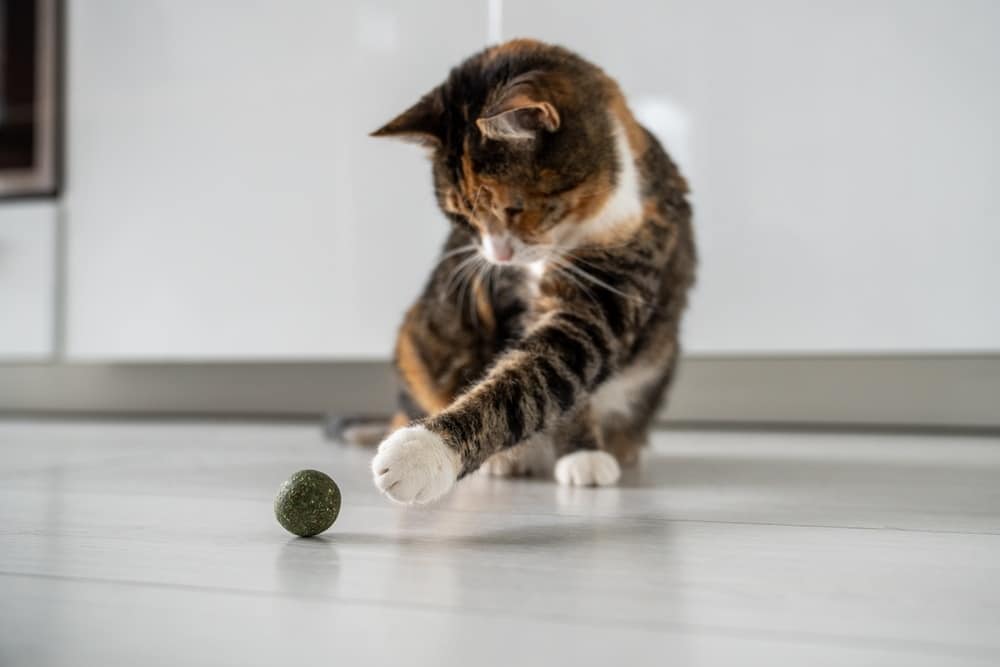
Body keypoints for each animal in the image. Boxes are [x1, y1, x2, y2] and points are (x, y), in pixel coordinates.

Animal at [370, 39, 696, 504]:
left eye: (513, 208)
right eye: (461, 215)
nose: (499, 255)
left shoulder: (610, 284)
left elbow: (541, 373)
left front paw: (421, 454)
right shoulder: (507, 297)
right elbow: (529, 375)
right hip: (420, 339)